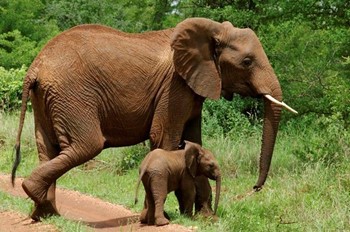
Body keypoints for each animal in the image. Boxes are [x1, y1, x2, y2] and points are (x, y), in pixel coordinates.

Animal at [11, 17, 296, 220]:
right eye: (247, 62)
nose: (254, 188)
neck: (212, 30)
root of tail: (35, 66)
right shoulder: (175, 87)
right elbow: (164, 138)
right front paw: (164, 217)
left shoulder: (193, 87)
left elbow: (194, 141)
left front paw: (205, 219)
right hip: (71, 95)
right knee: (86, 145)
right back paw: (35, 195)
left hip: (48, 97)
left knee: (47, 149)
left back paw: (46, 214)